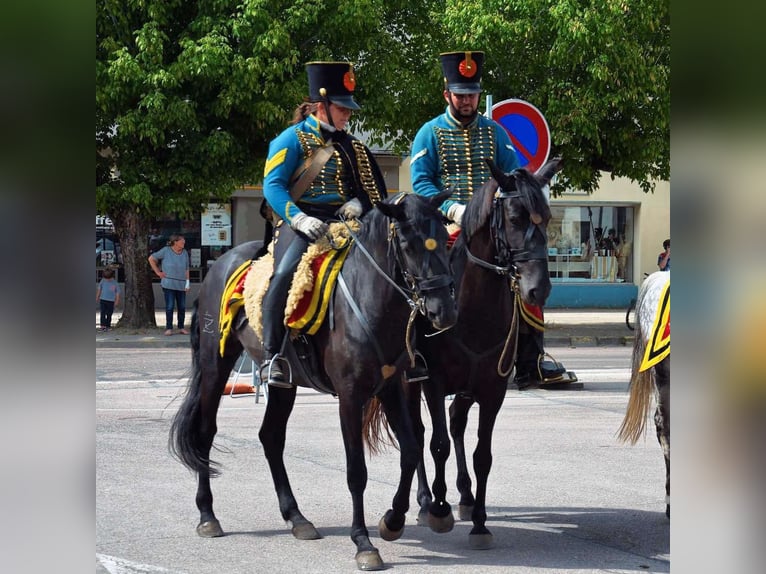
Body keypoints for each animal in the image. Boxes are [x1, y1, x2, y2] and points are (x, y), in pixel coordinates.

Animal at [169, 192, 460, 572]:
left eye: (442, 237)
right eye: (408, 244)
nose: (444, 311)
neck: (369, 300)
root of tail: (218, 265)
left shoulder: (391, 387)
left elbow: (410, 450)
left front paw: (393, 521)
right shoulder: (350, 397)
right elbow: (356, 471)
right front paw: (363, 542)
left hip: (285, 383)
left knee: (271, 437)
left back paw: (296, 517)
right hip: (215, 363)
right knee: (206, 432)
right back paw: (208, 515)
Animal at [404, 160, 560, 552]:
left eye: (548, 217)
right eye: (516, 218)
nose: (538, 289)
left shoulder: (493, 389)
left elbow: (482, 455)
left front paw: (479, 523)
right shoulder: (433, 382)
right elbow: (438, 444)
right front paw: (438, 510)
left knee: (457, 422)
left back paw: (464, 496)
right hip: (410, 384)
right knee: (418, 432)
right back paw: (426, 501)